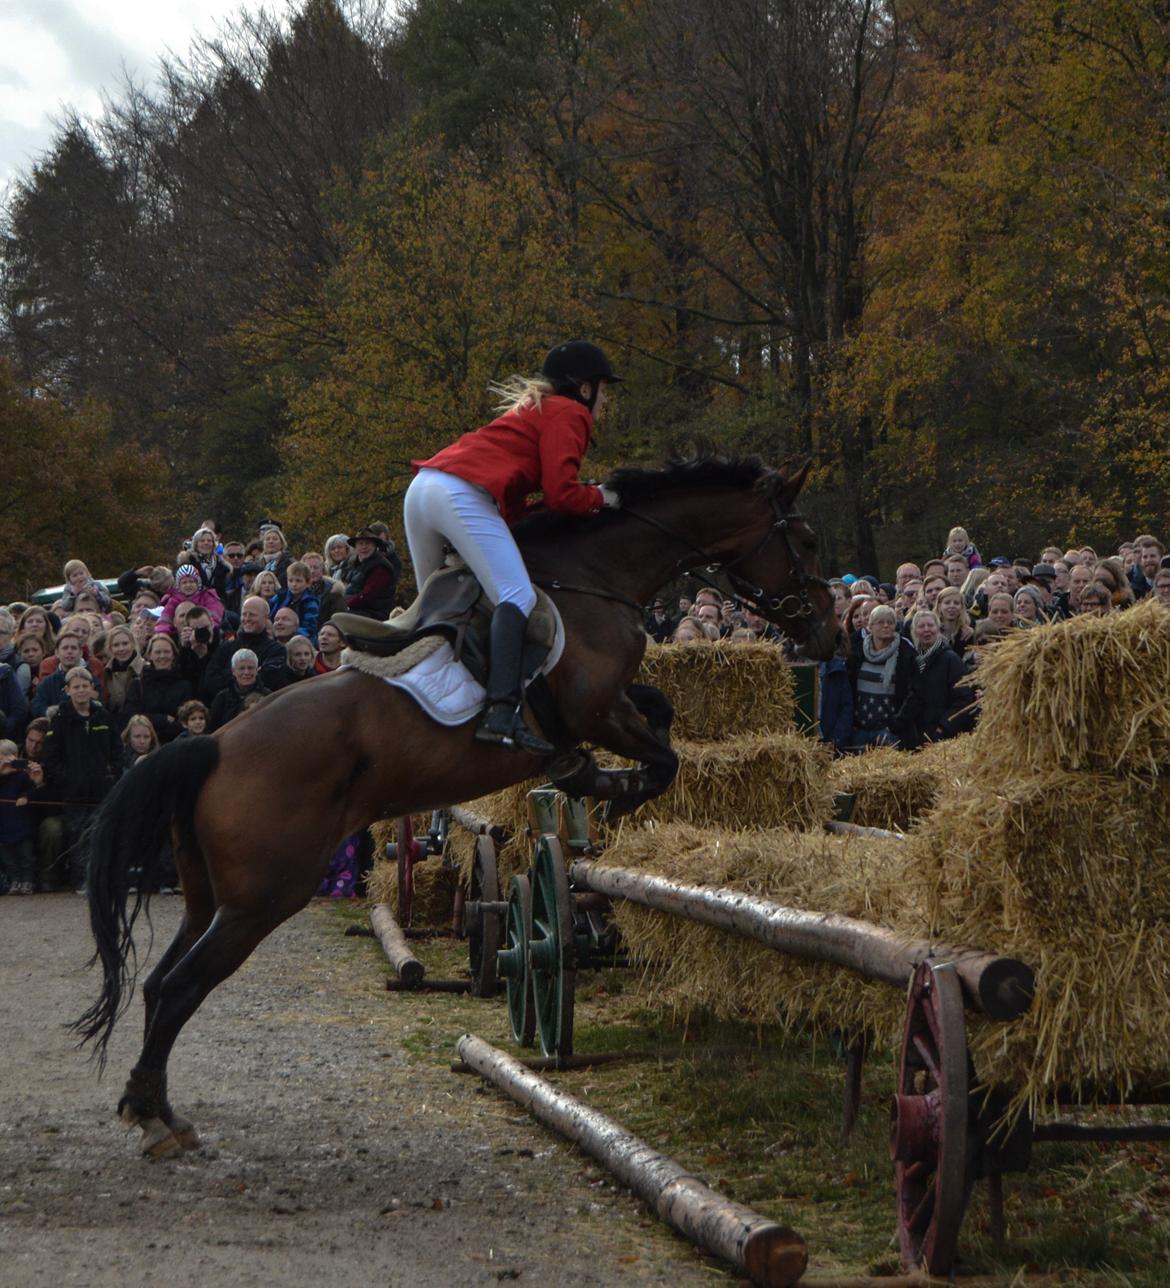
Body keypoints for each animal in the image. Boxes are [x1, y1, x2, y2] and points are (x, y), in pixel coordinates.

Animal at [75, 453, 840, 1159]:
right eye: (805, 541)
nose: (829, 635)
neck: (595, 578)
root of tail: (212, 746)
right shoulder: (595, 708)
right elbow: (660, 756)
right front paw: (601, 787)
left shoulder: (613, 707)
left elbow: (663, 716)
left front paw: (589, 781)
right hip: (261, 899)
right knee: (180, 988)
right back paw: (157, 1118)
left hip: (211, 897)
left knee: (158, 984)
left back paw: (151, 1105)